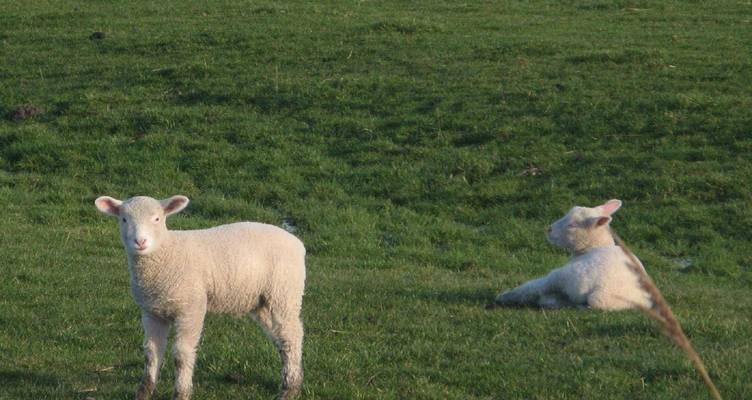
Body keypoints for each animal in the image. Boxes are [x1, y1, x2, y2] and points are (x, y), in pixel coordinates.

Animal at [94, 196, 306, 400]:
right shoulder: (152, 312)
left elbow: (181, 355)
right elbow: (151, 353)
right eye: (123, 219)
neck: (167, 251)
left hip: (284, 293)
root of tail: (298, 243)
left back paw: (290, 388)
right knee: (281, 337)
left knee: (292, 336)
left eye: (157, 219)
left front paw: (181, 393)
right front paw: (144, 392)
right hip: (262, 302)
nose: (141, 242)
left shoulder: (190, 309)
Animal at [494, 199, 652, 310]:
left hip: (563, 276)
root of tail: (603, 291)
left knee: (533, 288)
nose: (549, 229)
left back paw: (503, 297)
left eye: (572, 225)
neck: (592, 247)